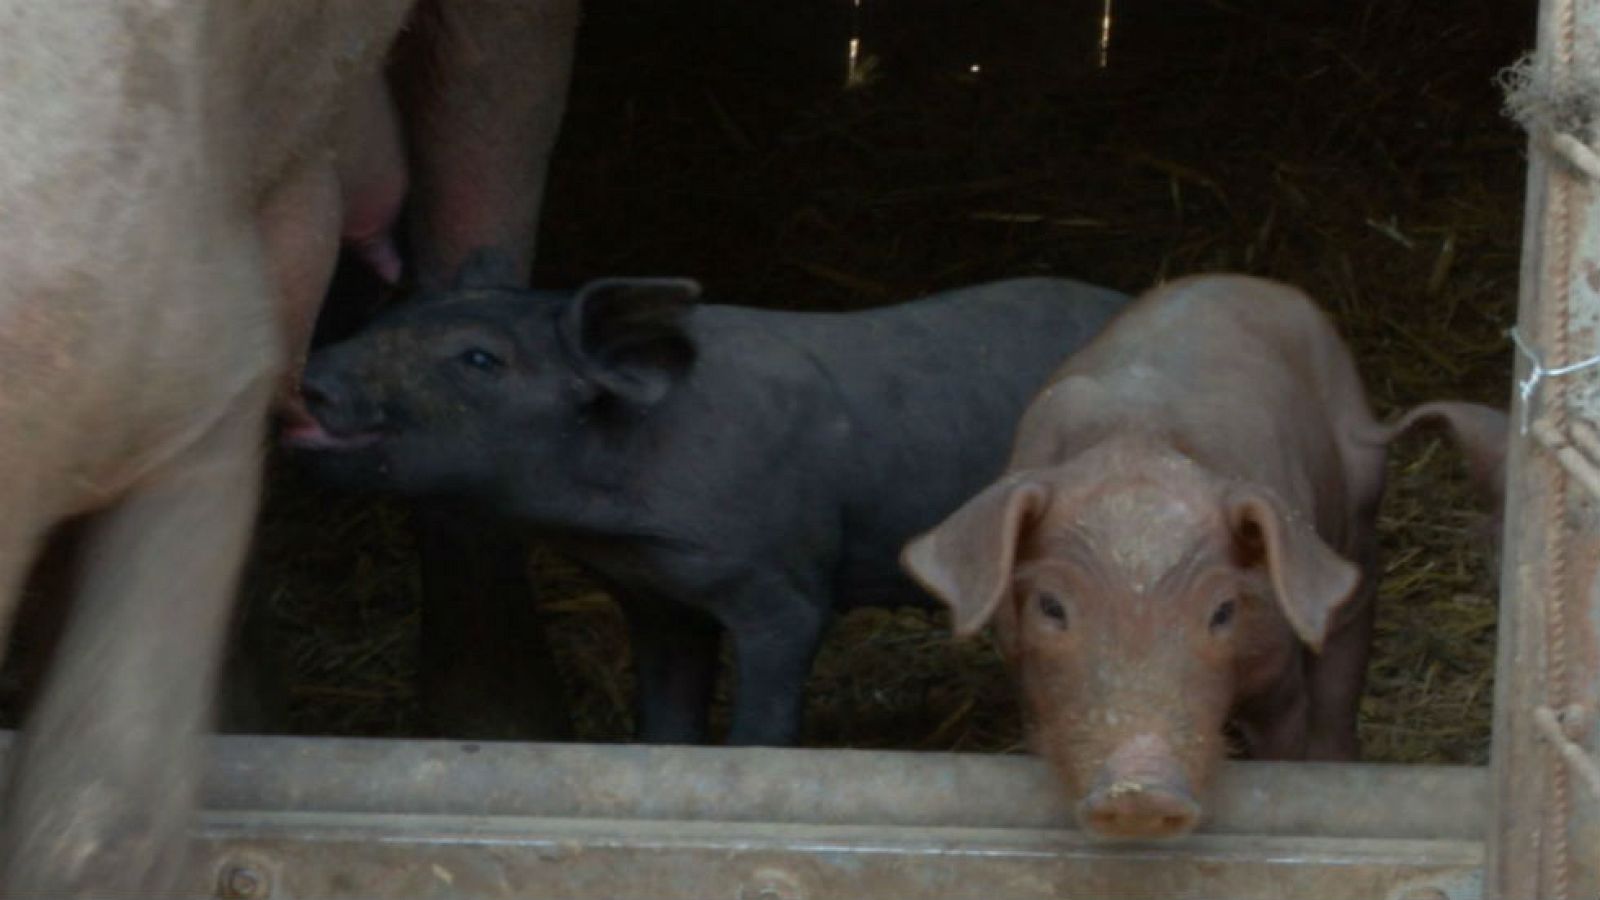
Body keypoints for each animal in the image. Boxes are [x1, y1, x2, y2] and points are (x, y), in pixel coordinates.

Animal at [286, 276, 1129, 746]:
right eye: (385, 315)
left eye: (478, 359)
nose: (310, 380)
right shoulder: (659, 601)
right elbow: (664, 721)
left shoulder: (784, 580)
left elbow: (763, 722)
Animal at [901, 273, 1505, 841]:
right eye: (1051, 606)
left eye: (1223, 611)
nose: (1140, 790)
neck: (1137, 443)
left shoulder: (1280, 677)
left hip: (1358, 514)